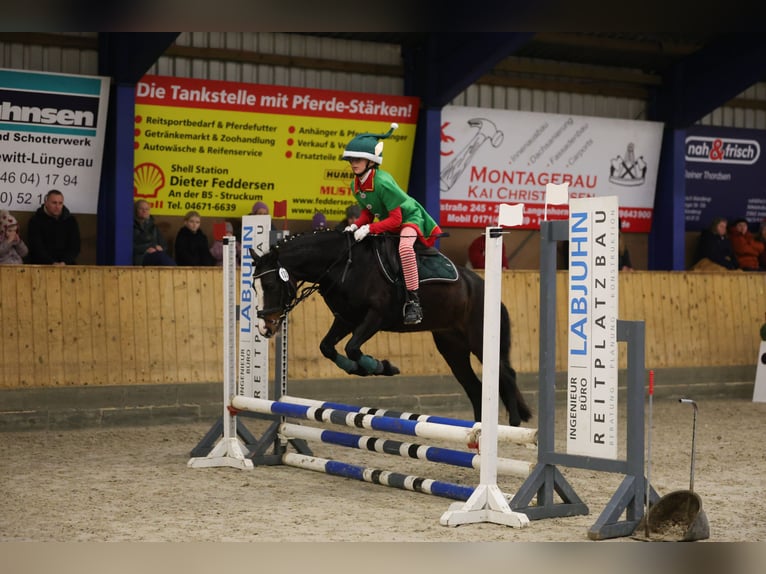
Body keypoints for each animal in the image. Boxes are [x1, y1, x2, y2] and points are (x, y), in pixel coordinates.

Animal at [249, 230, 532, 428]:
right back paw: (477, 431)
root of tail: (482, 286)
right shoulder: (346, 319)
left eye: (271, 285)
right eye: (253, 287)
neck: (343, 265)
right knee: (474, 386)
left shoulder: (375, 317)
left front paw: (380, 366)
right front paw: (363, 368)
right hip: (451, 347)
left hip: (480, 340)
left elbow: (352, 347)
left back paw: (513, 425)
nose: (265, 327)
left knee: (506, 375)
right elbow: (328, 347)